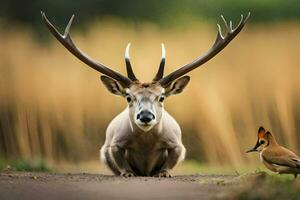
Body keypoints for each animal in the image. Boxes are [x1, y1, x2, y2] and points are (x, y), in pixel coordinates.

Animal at [41, 11, 250, 177]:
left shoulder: (178, 144)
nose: (146, 116)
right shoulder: (113, 144)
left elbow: (171, 161)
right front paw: (127, 173)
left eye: (162, 97)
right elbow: (119, 159)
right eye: (128, 97)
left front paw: (163, 173)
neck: (146, 146)